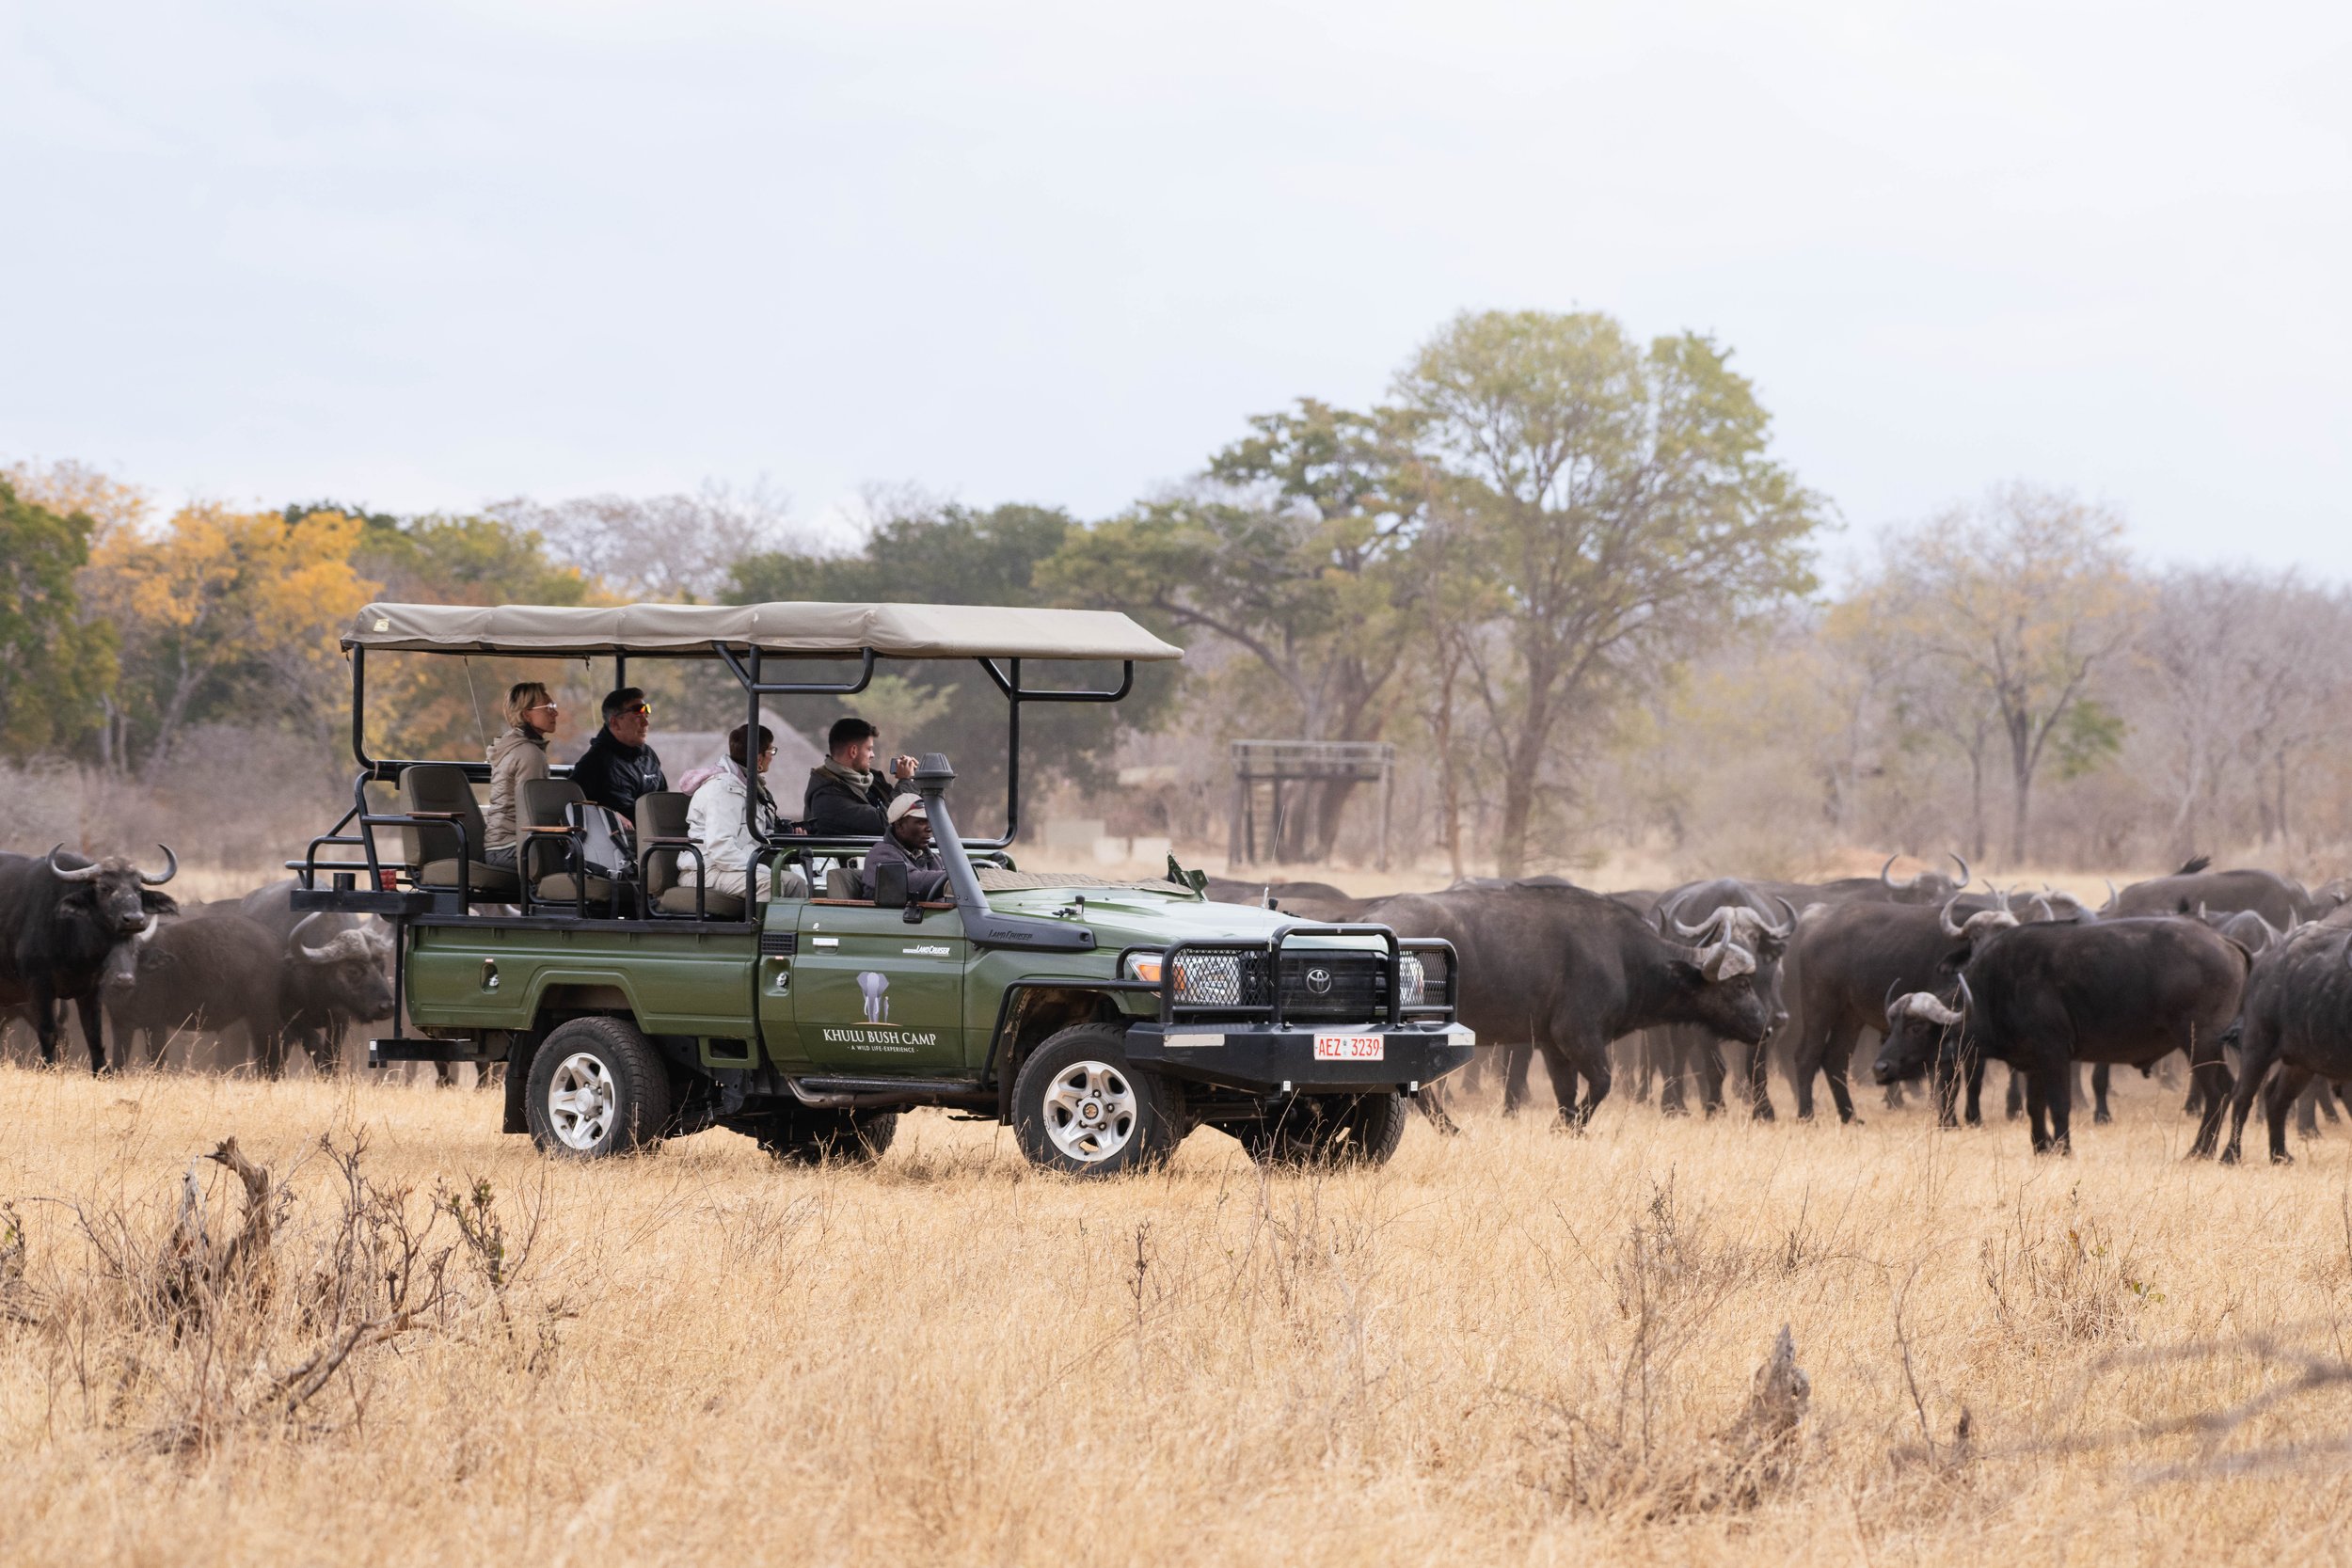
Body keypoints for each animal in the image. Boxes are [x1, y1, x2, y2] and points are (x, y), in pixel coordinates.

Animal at [0, 846, 179, 1081]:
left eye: (138, 889)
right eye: (104, 888)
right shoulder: (39, 985)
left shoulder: (93, 989)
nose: (134, 919)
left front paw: (103, 1072)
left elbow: (94, 1033)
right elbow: (48, 1030)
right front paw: (48, 1067)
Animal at [1364, 883, 1769, 1128]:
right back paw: (1451, 1128)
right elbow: (1602, 1083)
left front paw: (1565, 1125)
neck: (1623, 954)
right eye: (1742, 983)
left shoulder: (1551, 1043)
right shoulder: (1578, 1035)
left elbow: (1566, 1092)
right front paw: (1572, 1125)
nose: (1766, 1025)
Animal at [1872, 911, 2239, 1161]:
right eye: (1893, 1025)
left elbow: (2060, 1103)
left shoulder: (2055, 1054)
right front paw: (2041, 1147)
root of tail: (2224, 942)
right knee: (2229, 1088)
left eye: (1916, 1027)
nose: (1880, 1068)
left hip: (2199, 1043)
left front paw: (2063, 1148)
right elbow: (2035, 1106)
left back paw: (2200, 1151)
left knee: (2216, 1092)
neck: (1995, 988)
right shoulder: (2033, 1062)